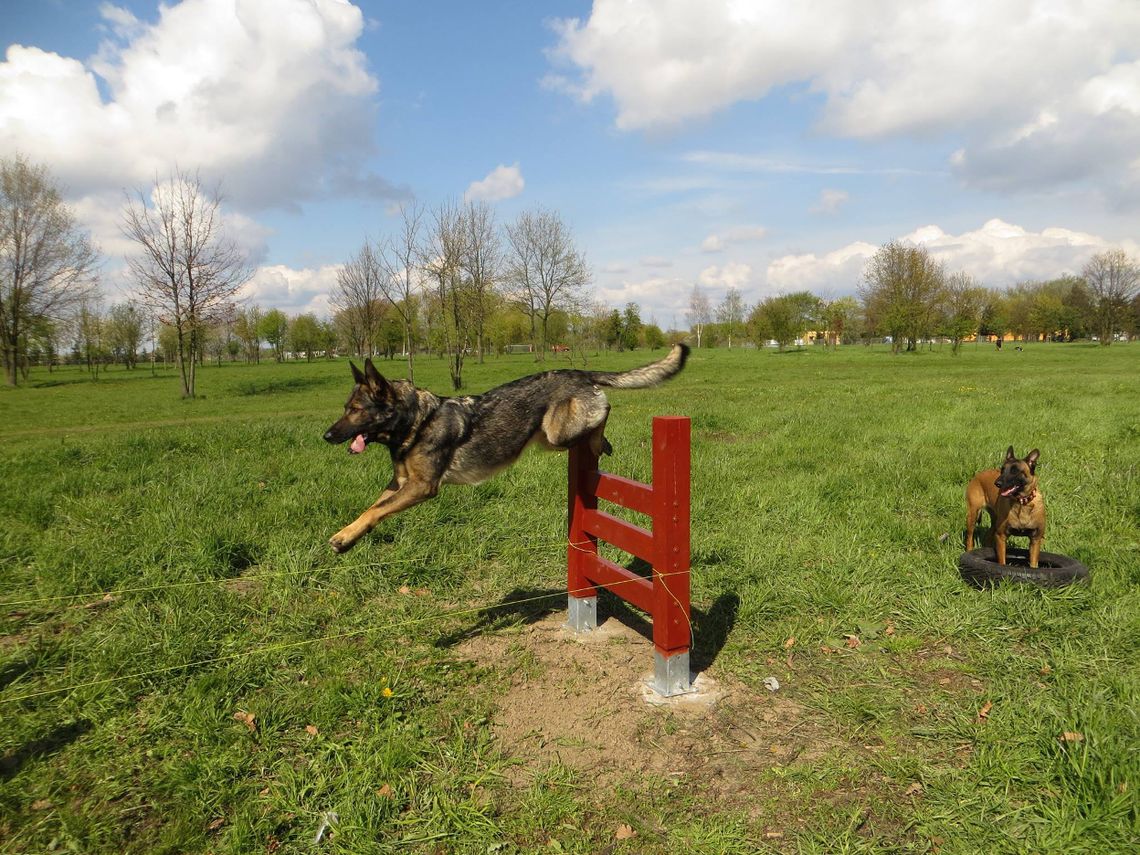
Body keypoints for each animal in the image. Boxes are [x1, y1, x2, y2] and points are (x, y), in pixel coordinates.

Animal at [326, 344, 688, 551]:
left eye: (355, 410)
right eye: (345, 407)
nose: (327, 436)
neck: (416, 420)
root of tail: (580, 371)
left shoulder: (422, 487)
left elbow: (377, 510)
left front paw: (344, 539)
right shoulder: (399, 483)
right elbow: (371, 509)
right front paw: (347, 536)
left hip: (558, 434)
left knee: (604, 411)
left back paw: (601, 439)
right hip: (551, 438)